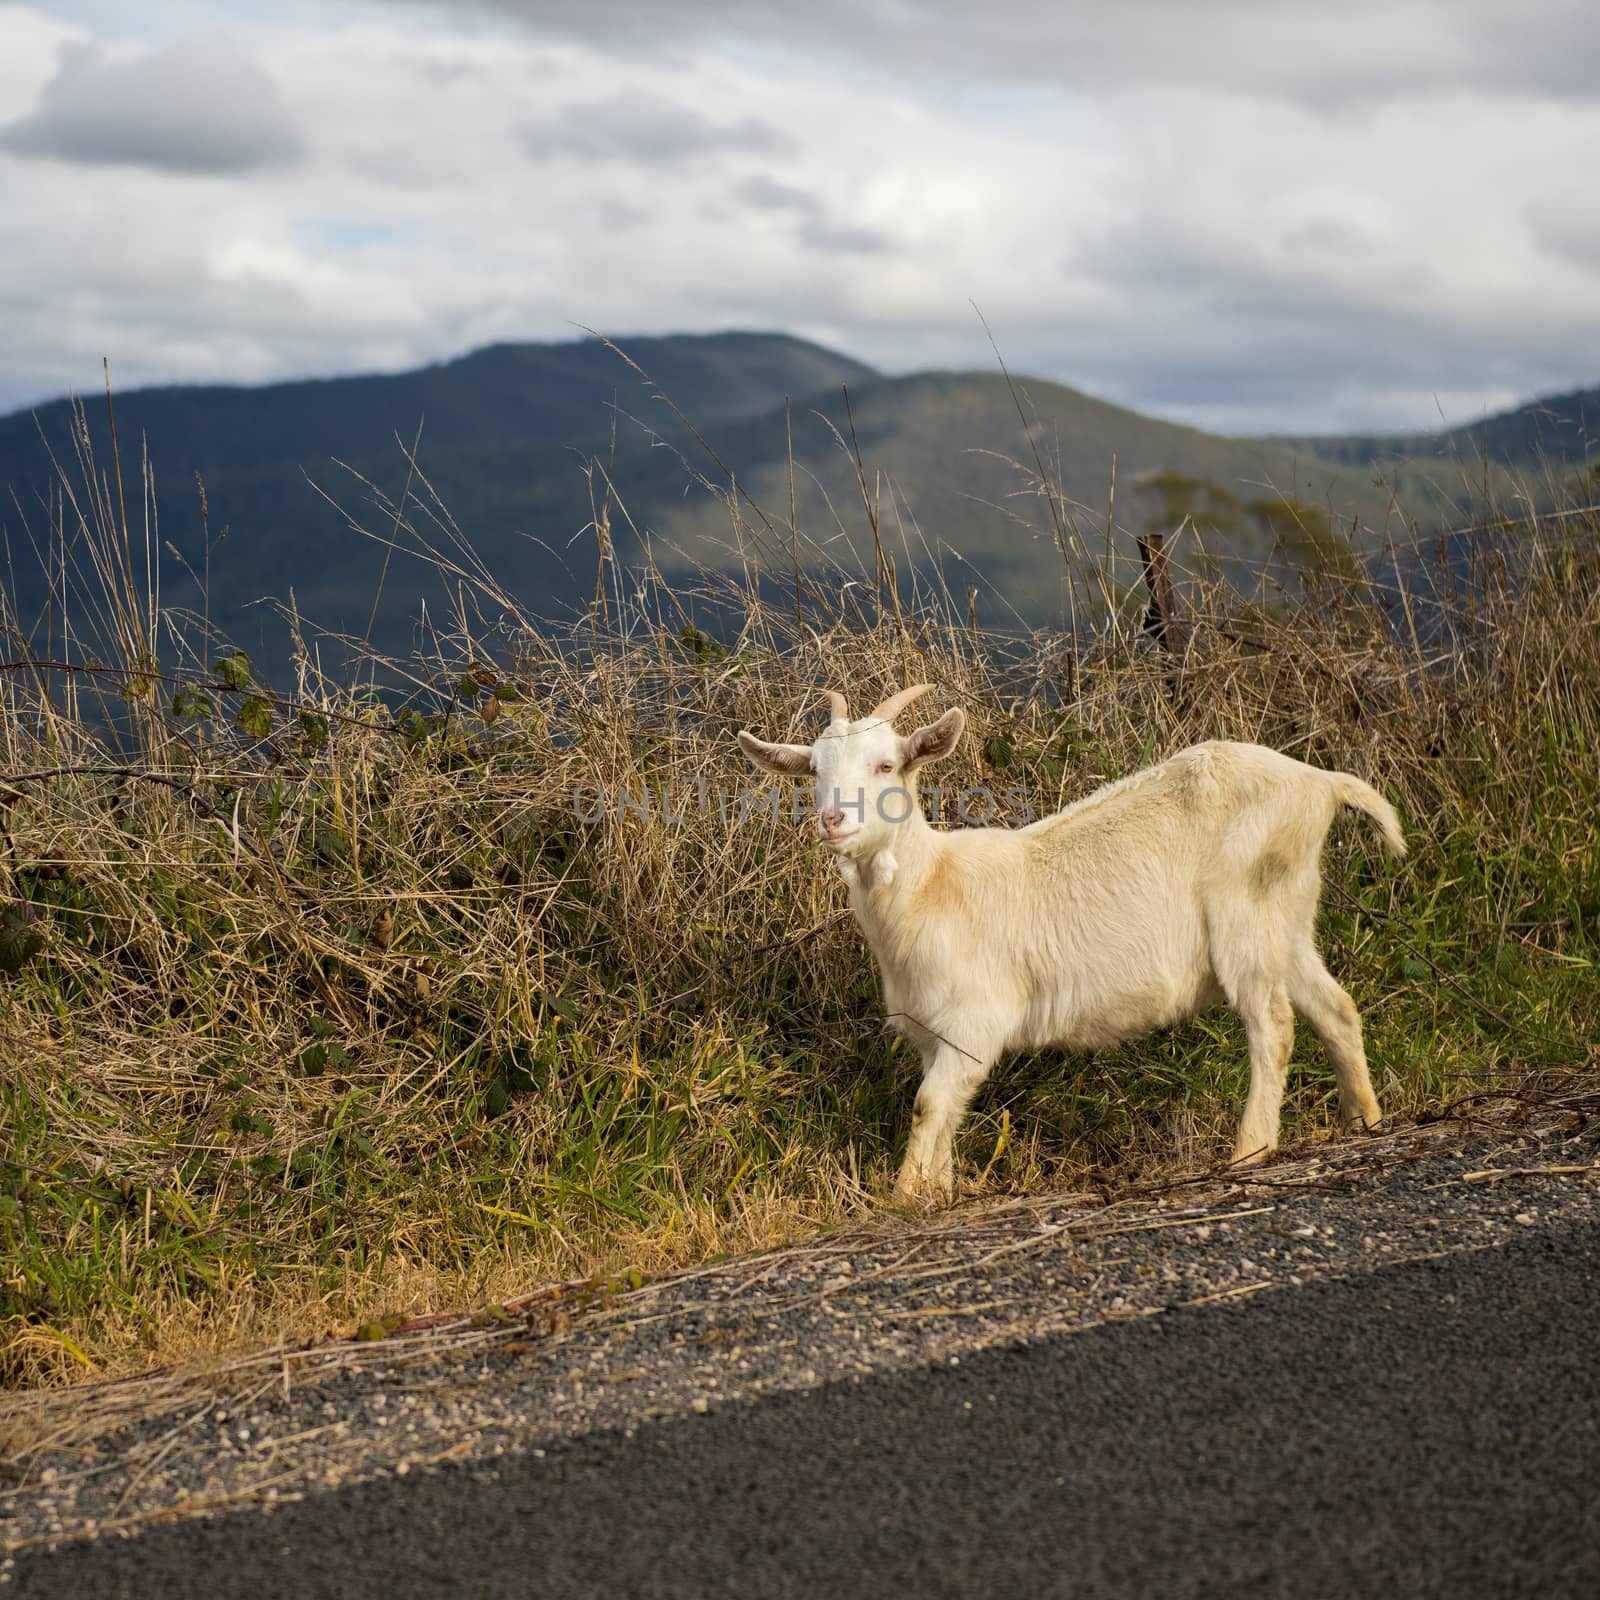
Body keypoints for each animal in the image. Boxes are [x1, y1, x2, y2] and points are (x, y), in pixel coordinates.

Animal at [736, 681, 1401, 1203]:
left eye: (886, 766)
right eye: (814, 773)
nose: (833, 822)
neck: (930, 888)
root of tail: (1318, 782)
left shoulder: (977, 1019)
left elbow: (928, 1107)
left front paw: (902, 1202)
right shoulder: (933, 1033)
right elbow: (944, 1113)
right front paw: (938, 1193)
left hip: (1247, 910)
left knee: (1273, 1025)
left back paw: (1250, 1151)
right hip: (1287, 917)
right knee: (1335, 1009)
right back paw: (1365, 1122)